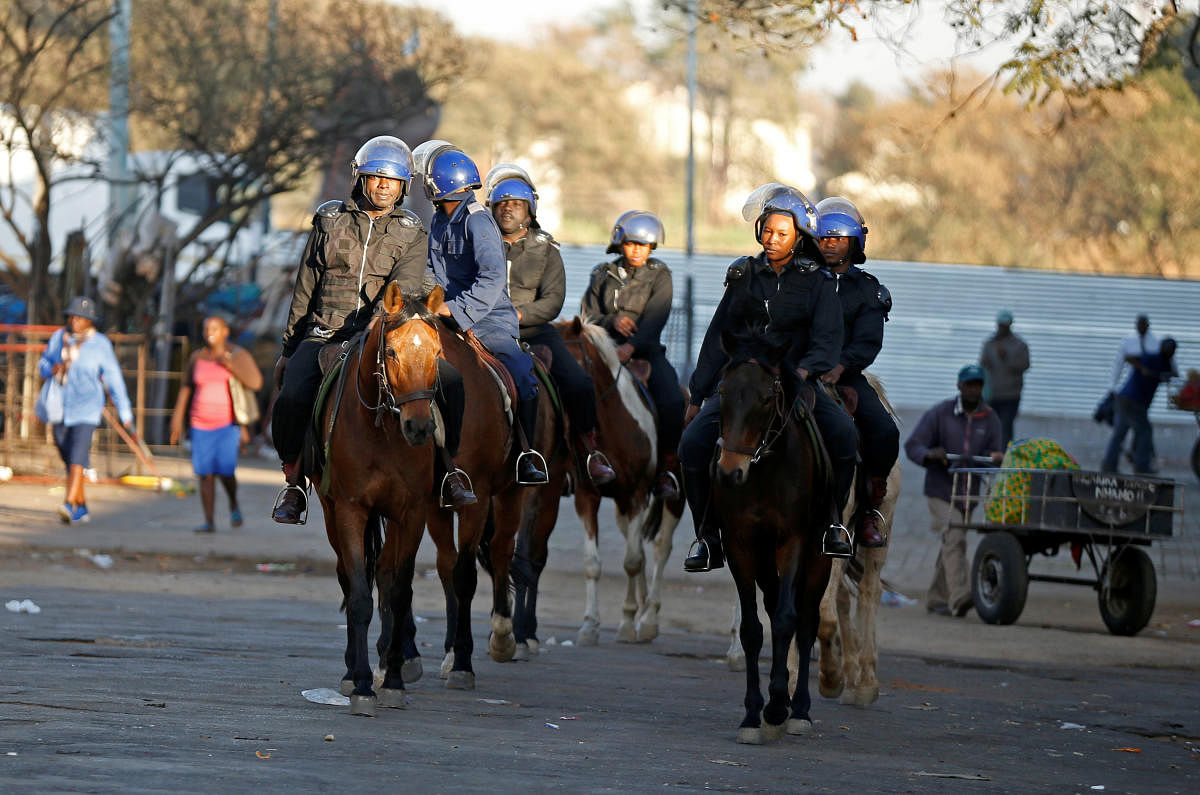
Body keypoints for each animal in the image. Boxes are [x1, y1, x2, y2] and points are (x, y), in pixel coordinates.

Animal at [312, 283, 444, 720]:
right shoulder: (351, 509)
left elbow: (398, 593)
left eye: (438, 353)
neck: (384, 431)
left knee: (384, 578)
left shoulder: (412, 513)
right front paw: (363, 684)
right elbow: (357, 596)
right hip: (331, 513)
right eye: (391, 352)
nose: (419, 427)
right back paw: (354, 670)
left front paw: (395, 679)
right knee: (348, 576)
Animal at [554, 321, 686, 653]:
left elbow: (632, 561)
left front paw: (627, 623)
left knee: (660, 548)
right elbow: (593, 563)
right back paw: (642, 608)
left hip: (674, 498)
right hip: (621, 506)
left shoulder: (637, 494)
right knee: (638, 545)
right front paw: (590, 625)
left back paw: (648, 619)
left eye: (578, 362)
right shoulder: (589, 497)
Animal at [710, 338, 835, 749]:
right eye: (722, 391)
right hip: (764, 561)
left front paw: (779, 705)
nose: (730, 472)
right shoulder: (739, 545)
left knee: (806, 620)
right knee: (775, 601)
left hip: (819, 558)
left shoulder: (792, 540)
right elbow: (752, 629)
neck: (763, 470)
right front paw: (753, 713)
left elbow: (785, 620)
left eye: (766, 399)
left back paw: (799, 710)